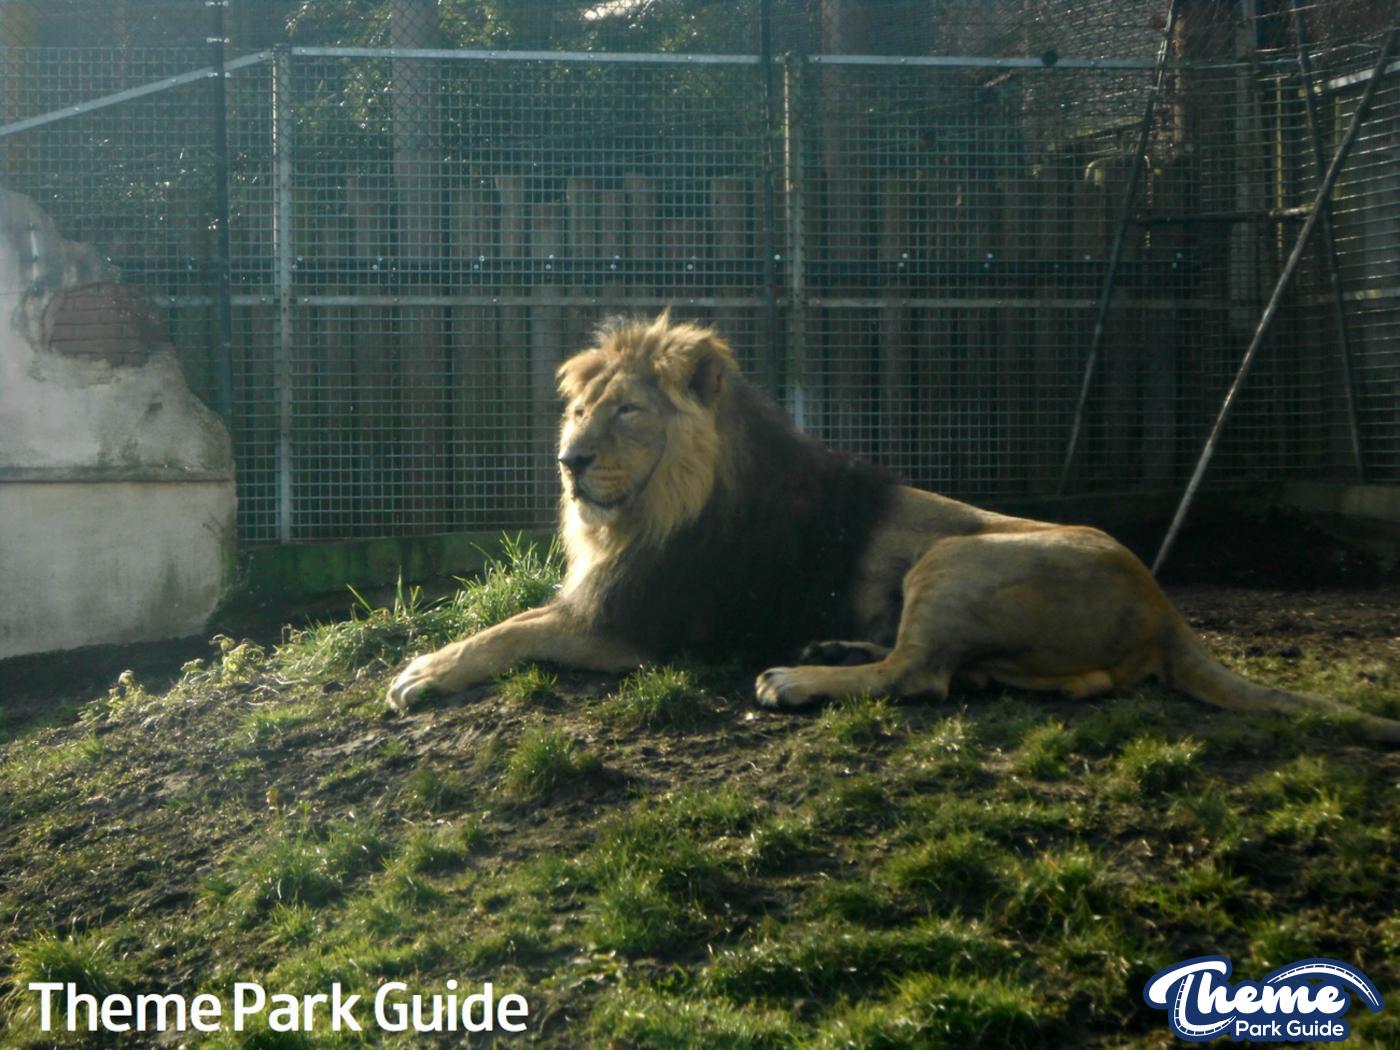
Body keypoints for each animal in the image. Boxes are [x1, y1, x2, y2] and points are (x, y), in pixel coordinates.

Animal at [387, 311, 1400, 746]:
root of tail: (1168, 608)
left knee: (916, 677)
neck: (651, 506)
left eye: (629, 412)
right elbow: (500, 615)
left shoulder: (630, 624)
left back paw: (797, 677)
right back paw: (841, 646)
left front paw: (421, 672)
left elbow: (509, 630)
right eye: (578, 412)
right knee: (990, 675)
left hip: (955, 555)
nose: (570, 462)